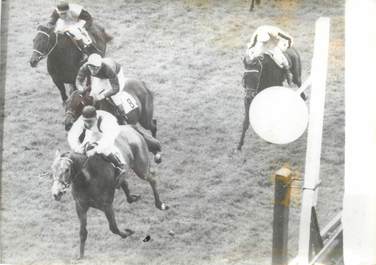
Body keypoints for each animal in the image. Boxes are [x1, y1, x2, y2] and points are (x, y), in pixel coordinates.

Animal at [50, 125, 168, 258]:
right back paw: (132, 197)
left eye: (67, 170)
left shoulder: (107, 205)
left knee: (152, 179)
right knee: (124, 182)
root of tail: (129, 127)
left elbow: (113, 227)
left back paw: (160, 204)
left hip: (140, 167)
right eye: (52, 169)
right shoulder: (80, 206)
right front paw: (80, 256)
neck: (87, 178)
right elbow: (83, 232)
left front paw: (128, 232)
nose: (56, 193)